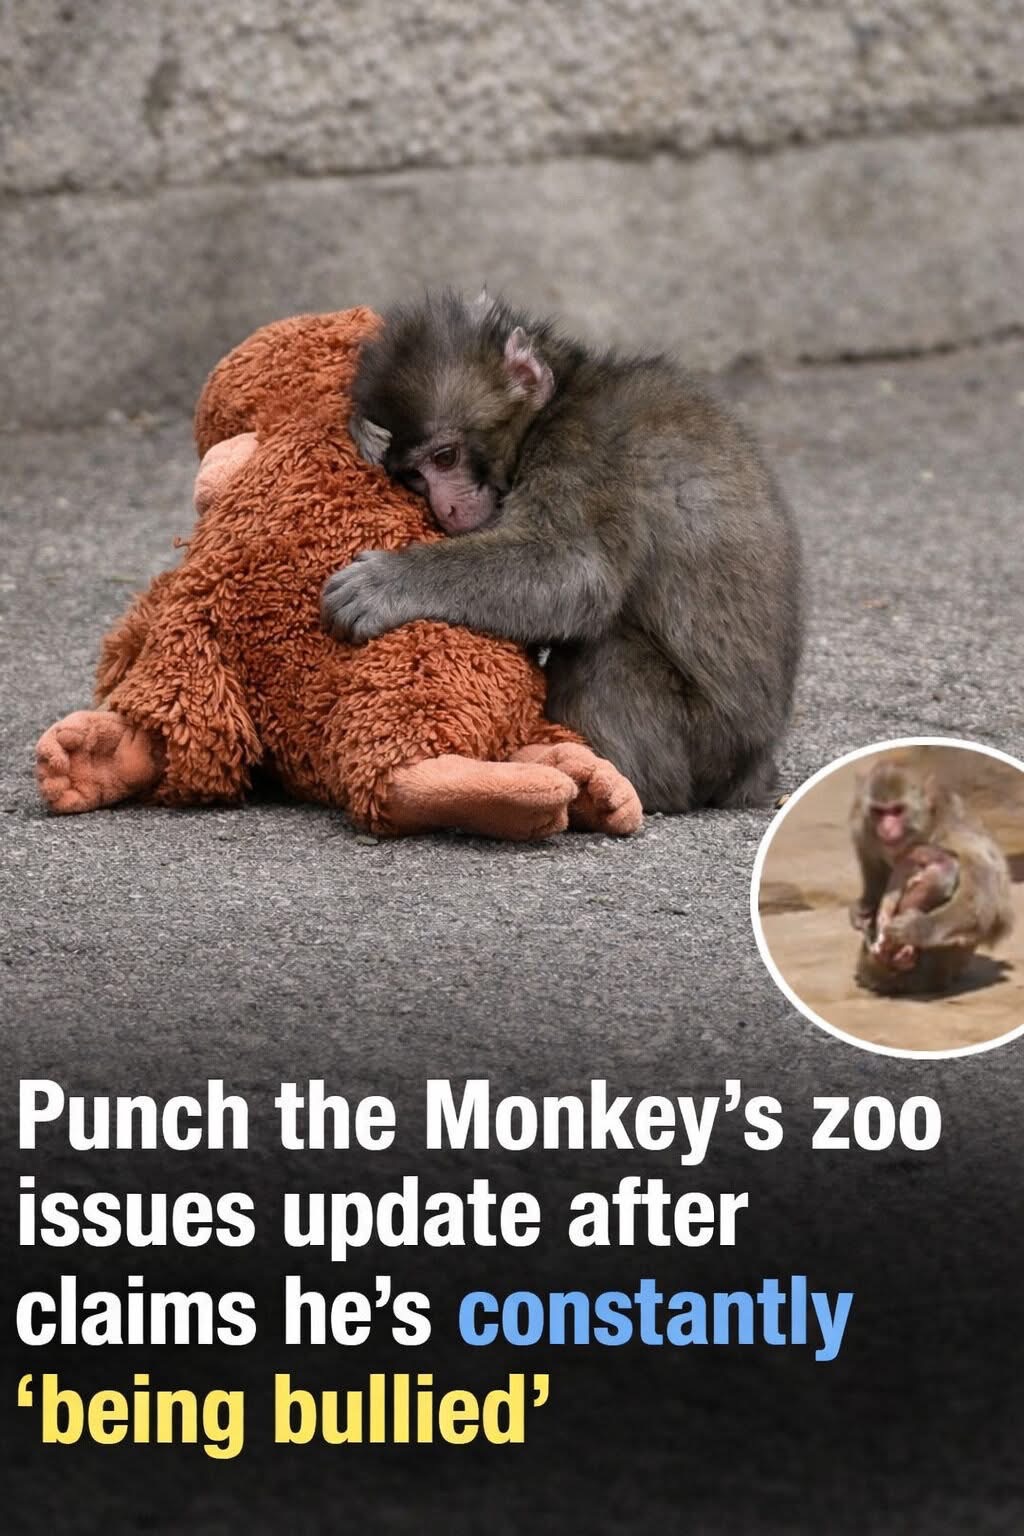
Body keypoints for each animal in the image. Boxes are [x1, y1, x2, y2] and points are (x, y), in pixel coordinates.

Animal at [321, 290, 803, 813]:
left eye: (445, 457)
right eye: (414, 475)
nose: (445, 507)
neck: (557, 402)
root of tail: (754, 768)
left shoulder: (583, 451)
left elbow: (575, 571)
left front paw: (389, 582)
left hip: (700, 742)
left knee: (605, 653)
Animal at [849, 756, 1014, 995]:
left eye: (897, 810)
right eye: (880, 812)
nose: (886, 829)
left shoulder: (958, 835)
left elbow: (985, 902)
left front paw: (918, 928)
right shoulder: (862, 829)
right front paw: (863, 909)